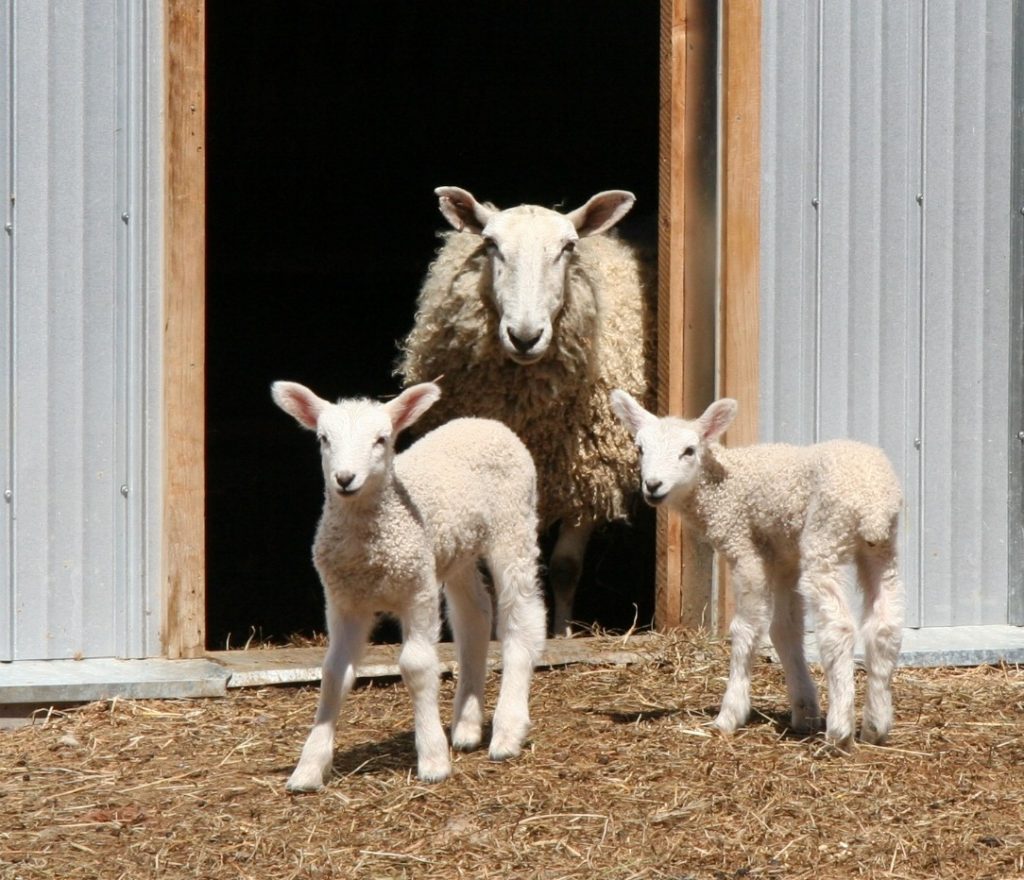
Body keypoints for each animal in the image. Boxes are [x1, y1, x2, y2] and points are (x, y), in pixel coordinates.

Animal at [270, 379, 544, 790]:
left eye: (381, 439)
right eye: (323, 438)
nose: (345, 479)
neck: (369, 551)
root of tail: (484, 422)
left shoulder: (417, 591)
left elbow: (416, 666)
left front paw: (432, 759)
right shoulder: (344, 602)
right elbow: (333, 672)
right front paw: (309, 768)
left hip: (514, 525)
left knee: (520, 616)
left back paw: (507, 731)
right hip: (452, 550)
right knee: (474, 614)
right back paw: (466, 725)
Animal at [395, 187, 651, 639]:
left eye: (568, 247)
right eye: (491, 244)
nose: (525, 336)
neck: (527, 415)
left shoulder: (586, 476)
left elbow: (566, 567)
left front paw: (562, 632)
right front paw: (497, 633)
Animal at [606, 391, 905, 749]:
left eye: (689, 450)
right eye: (640, 449)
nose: (653, 485)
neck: (723, 487)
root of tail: (873, 506)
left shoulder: (744, 547)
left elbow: (746, 629)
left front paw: (729, 715)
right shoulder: (784, 554)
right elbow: (784, 630)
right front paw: (804, 711)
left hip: (825, 537)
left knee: (839, 629)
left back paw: (839, 731)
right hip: (881, 548)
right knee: (885, 625)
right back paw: (875, 726)